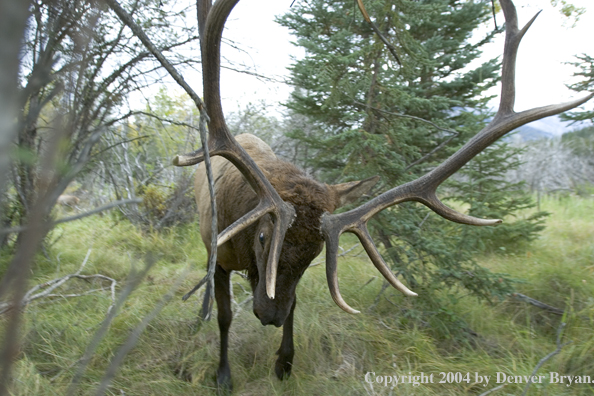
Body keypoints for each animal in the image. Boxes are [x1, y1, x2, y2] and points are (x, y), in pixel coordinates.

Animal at [169, 0, 588, 390]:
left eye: (316, 253)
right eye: (261, 235)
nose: (270, 316)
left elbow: (295, 304)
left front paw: (284, 363)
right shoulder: (220, 254)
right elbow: (225, 315)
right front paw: (223, 376)